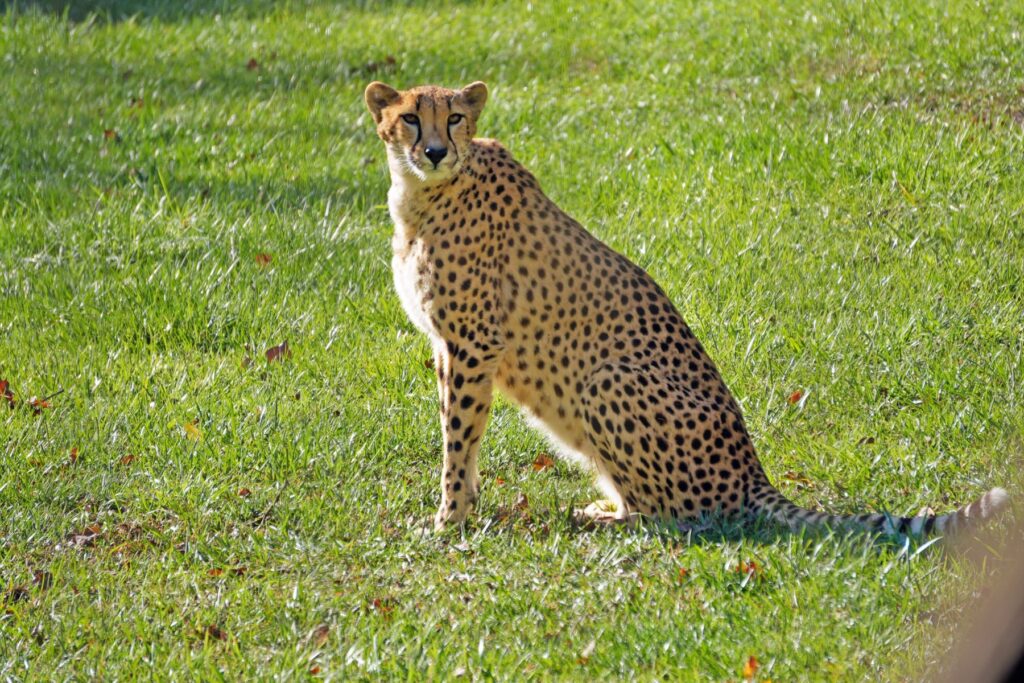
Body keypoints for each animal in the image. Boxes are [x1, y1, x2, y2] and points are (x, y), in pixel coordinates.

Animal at [362, 81, 1007, 532]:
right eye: (410, 118)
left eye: (456, 118)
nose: (435, 150)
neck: (421, 193)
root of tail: (752, 472)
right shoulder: (448, 346)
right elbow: (462, 436)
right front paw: (464, 509)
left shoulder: (474, 344)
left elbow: (457, 436)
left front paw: (448, 522)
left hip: (607, 378)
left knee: (672, 516)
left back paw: (604, 519)